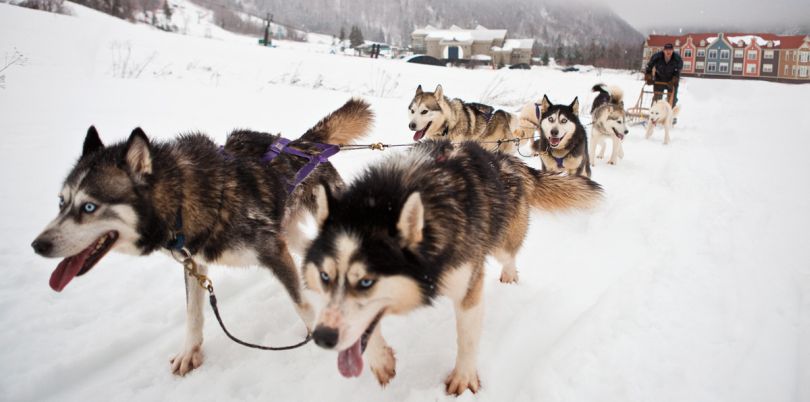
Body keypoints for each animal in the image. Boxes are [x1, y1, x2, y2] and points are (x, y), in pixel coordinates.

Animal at [30, 99, 372, 376]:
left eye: (89, 206)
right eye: (61, 202)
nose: (38, 245)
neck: (183, 199)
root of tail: (304, 144)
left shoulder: (272, 250)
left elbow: (300, 304)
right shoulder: (193, 262)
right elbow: (193, 313)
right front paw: (189, 353)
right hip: (290, 233)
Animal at [302, 140, 600, 394]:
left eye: (366, 281)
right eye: (325, 276)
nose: (322, 337)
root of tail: (505, 160)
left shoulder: (468, 287)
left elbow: (466, 339)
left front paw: (464, 378)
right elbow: (366, 328)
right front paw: (381, 360)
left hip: (502, 242)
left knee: (509, 257)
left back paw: (509, 277)